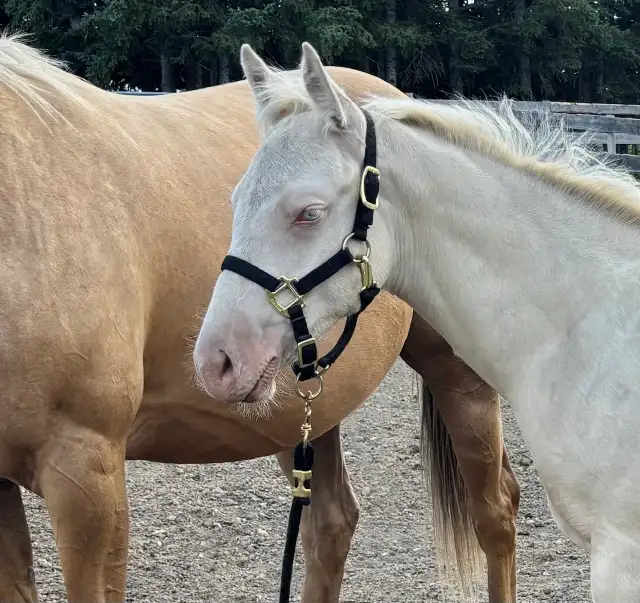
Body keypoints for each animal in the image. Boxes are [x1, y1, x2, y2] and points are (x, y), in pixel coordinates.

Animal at [0, 33, 519, 603]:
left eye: (309, 213)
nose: (216, 360)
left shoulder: (85, 471)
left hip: (459, 377)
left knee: (497, 512)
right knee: (331, 525)